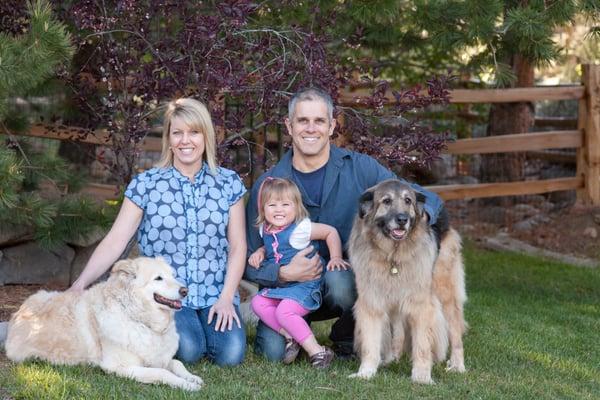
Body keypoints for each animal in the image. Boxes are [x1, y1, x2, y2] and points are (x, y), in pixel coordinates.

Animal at [4, 256, 204, 390]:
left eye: (173, 275)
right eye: (158, 278)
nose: (185, 290)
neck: (136, 316)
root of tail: (17, 314)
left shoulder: (159, 358)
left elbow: (176, 364)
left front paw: (192, 377)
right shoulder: (119, 367)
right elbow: (161, 373)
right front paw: (186, 385)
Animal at [346, 180, 468, 382]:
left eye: (408, 201)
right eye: (386, 201)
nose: (402, 219)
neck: (392, 256)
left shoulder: (421, 305)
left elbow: (422, 346)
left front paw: (422, 376)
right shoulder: (372, 302)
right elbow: (370, 343)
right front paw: (366, 372)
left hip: (445, 293)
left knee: (456, 331)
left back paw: (458, 365)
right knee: (398, 330)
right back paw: (393, 357)